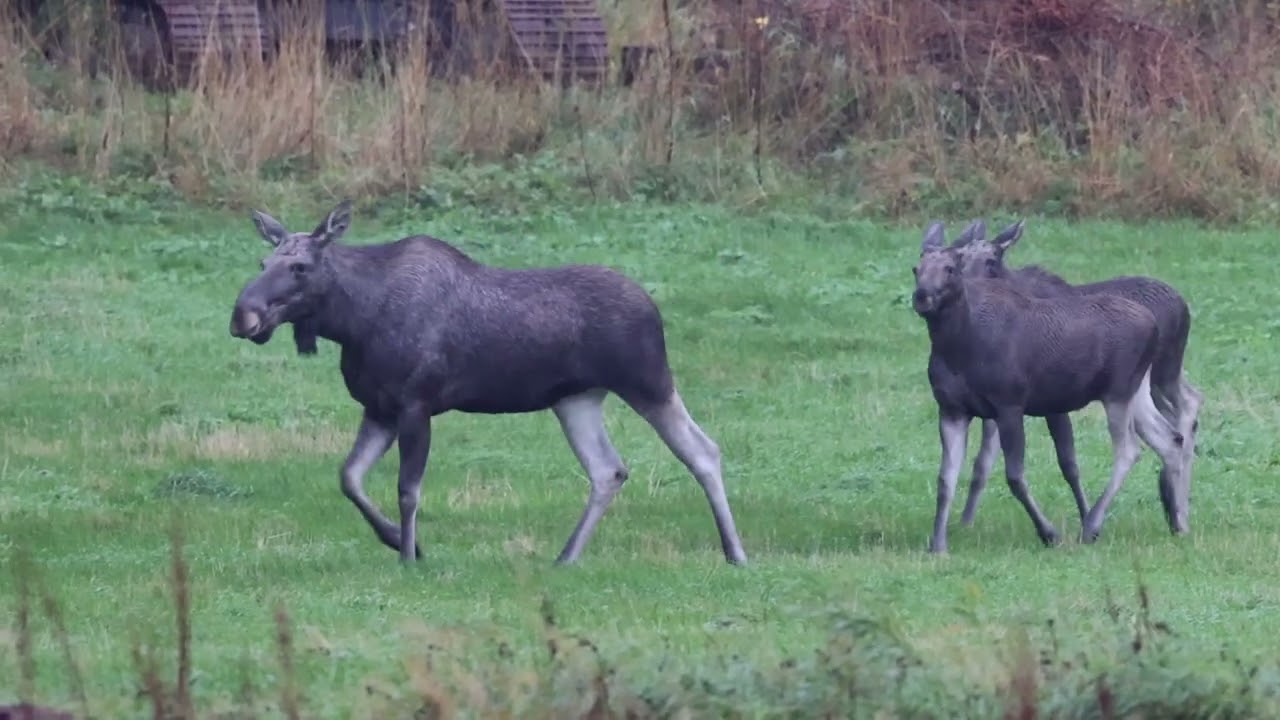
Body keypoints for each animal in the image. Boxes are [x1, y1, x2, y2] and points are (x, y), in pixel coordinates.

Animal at [228, 200, 748, 566]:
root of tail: (654, 308)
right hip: (576, 399)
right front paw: (401, 542)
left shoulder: (415, 404)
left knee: (703, 450)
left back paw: (735, 552)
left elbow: (407, 490)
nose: (242, 316)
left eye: (299, 267)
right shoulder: (378, 407)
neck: (354, 321)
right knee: (609, 469)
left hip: (647, 381)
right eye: (262, 263)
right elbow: (350, 478)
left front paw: (408, 557)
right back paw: (565, 557)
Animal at [912, 221, 1187, 553]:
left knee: (1130, 449)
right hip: (1138, 389)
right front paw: (938, 545)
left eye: (950, 268)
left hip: (1119, 390)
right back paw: (1177, 522)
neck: (958, 348)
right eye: (916, 268)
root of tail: (1154, 324)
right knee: (1170, 439)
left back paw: (1092, 526)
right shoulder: (952, 410)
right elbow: (946, 478)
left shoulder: (1010, 404)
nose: (922, 296)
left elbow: (1016, 476)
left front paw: (1049, 533)